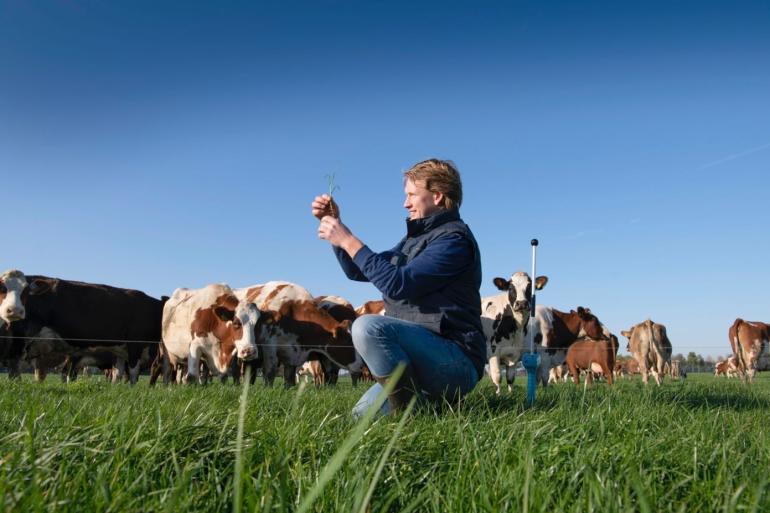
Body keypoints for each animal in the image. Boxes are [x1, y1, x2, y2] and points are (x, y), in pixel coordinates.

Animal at [232, 282, 362, 386]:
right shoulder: (269, 345)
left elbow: (290, 376)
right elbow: (270, 371)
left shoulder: (293, 351)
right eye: (349, 342)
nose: (362, 364)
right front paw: (267, 388)